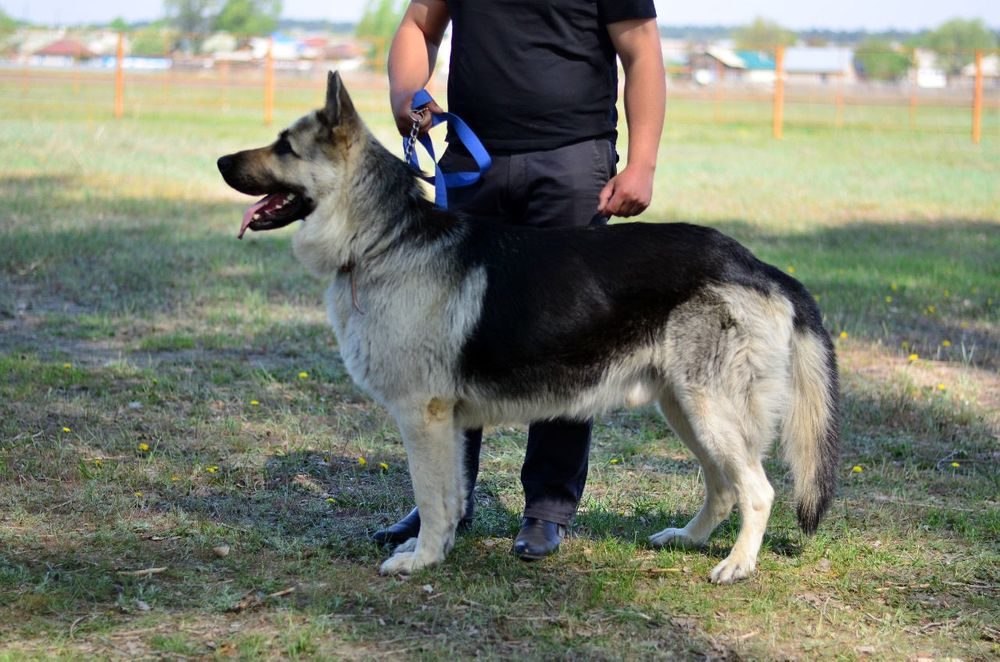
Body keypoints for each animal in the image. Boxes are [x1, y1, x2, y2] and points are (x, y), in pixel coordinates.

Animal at [217, 70, 836, 584]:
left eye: (285, 146)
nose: (220, 162)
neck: (379, 239)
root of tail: (757, 265)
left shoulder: (423, 416)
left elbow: (433, 496)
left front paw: (421, 559)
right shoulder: (447, 424)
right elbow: (451, 496)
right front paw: (435, 551)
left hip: (709, 411)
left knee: (757, 489)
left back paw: (738, 564)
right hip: (685, 409)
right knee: (724, 486)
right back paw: (688, 539)